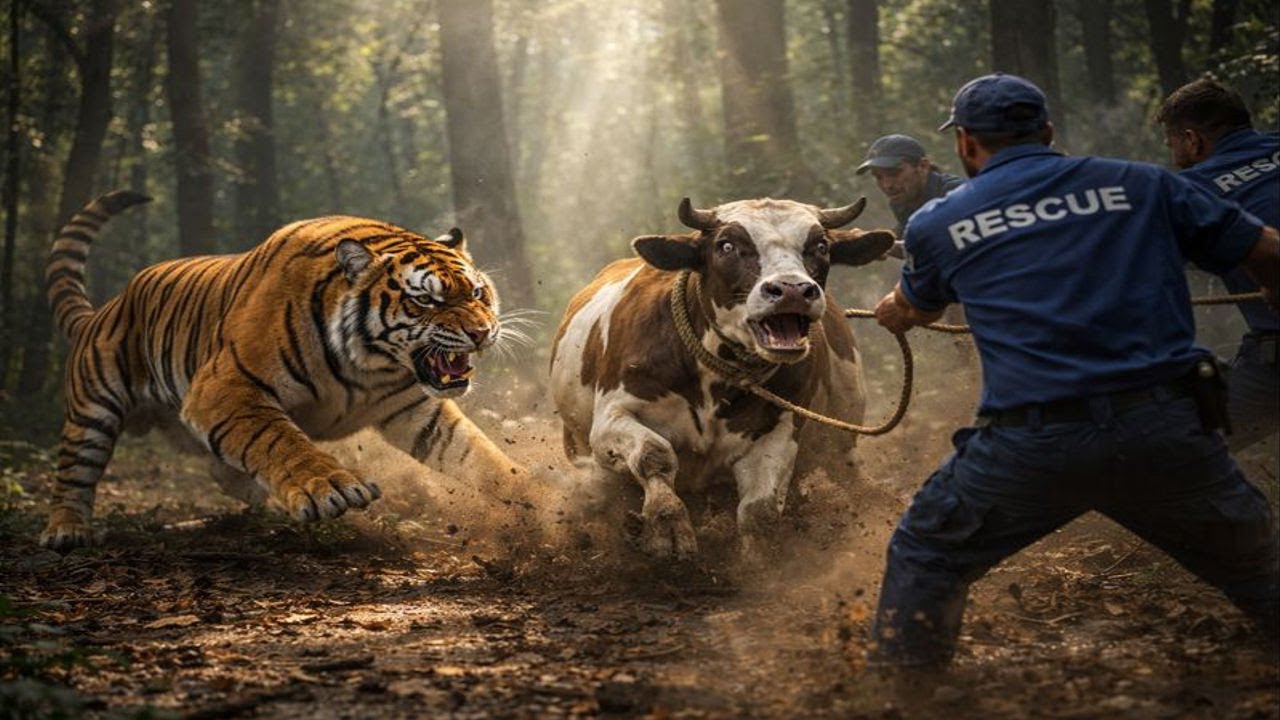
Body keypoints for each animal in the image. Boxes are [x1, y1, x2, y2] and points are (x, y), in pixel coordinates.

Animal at [40, 189, 524, 550]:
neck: (371, 366)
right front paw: (331, 487)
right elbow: (279, 440)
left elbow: (477, 455)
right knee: (74, 472)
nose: (482, 332)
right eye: (426, 300)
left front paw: (533, 500)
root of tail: (105, 310)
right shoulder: (226, 386)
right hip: (93, 408)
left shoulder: (416, 409)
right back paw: (66, 530)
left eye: (477, 292)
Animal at [549, 197, 894, 558]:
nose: (792, 290)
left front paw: (759, 562)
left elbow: (760, 509)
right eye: (726, 245)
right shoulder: (611, 418)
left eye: (821, 246)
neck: (712, 378)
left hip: (841, 440)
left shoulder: (782, 430)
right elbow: (654, 453)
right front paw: (667, 526)